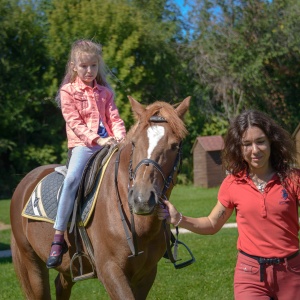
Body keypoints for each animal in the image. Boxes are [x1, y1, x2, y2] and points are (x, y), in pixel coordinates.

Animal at [10, 96, 191, 300]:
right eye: (134, 143)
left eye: (175, 146)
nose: (141, 199)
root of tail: (25, 182)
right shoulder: (110, 270)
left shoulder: (146, 274)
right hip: (31, 263)